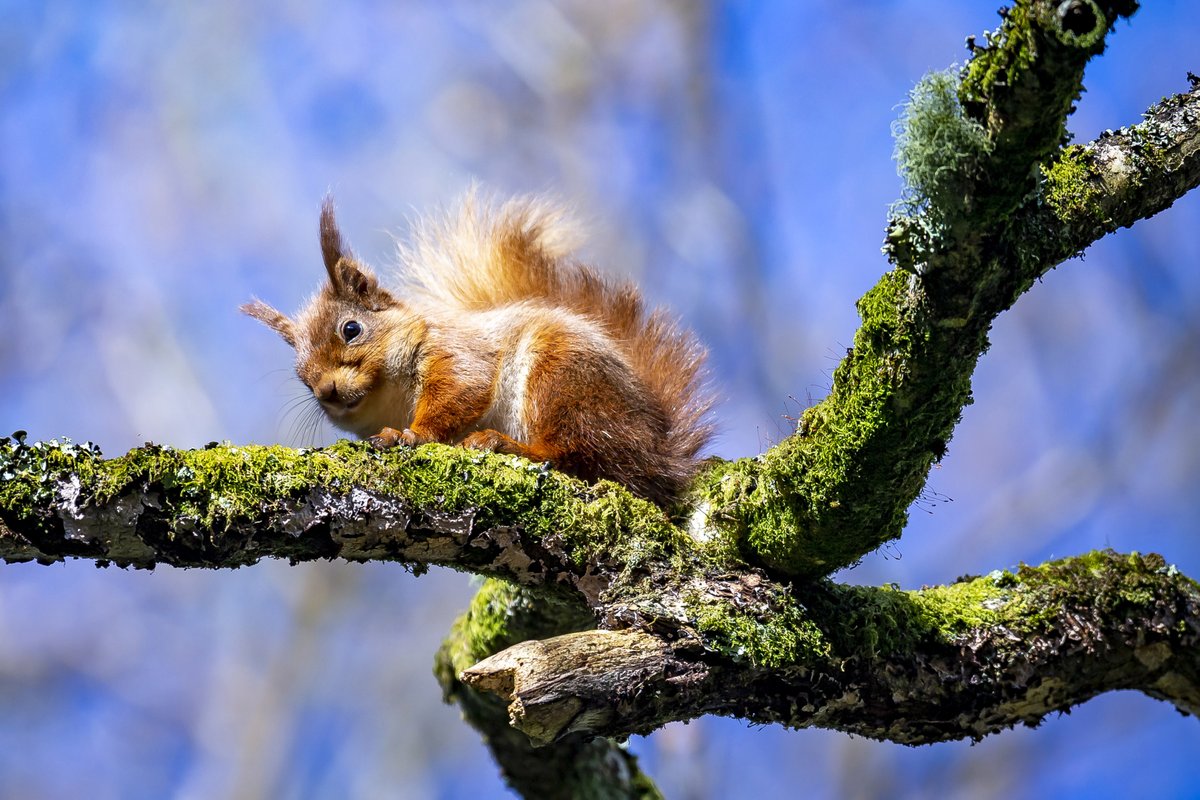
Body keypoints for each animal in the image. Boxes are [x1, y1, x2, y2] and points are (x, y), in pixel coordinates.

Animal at [243, 194, 710, 506]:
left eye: (351, 329)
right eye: (301, 377)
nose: (327, 391)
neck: (387, 398)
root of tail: (659, 450)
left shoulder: (458, 352)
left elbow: (460, 391)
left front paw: (411, 435)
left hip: (564, 382)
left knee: (579, 455)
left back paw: (504, 445)